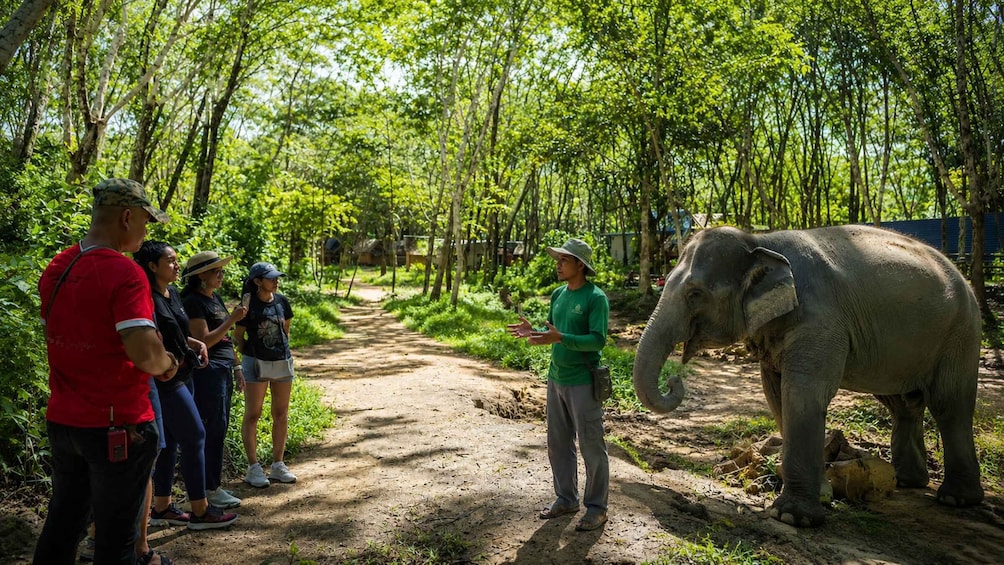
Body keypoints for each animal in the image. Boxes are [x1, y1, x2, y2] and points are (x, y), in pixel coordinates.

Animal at [632, 225, 984, 527]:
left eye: (695, 294)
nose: (674, 380)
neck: (760, 241)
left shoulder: (820, 321)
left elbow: (801, 393)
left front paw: (792, 517)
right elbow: (775, 395)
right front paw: (824, 495)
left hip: (961, 333)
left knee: (949, 403)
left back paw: (956, 500)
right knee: (903, 403)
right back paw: (909, 481)